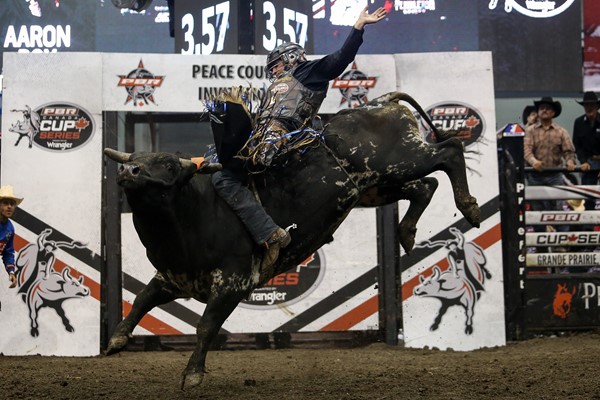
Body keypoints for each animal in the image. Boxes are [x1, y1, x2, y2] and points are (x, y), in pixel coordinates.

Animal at [102, 91, 478, 390]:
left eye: (167, 165)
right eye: (135, 160)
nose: (128, 171)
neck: (190, 215)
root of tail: (381, 102)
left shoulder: (233, 283)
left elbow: (206, 326)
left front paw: (192, 375)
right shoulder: (173, 279)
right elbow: (141, 300)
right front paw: (116, 340)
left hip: (400, 161)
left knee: (449, 151)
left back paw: (469, 207)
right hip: (377, 186)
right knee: (424, 186)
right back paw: (407, 232)